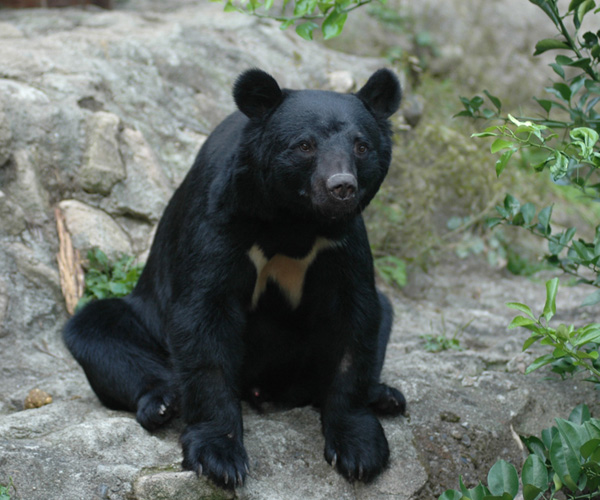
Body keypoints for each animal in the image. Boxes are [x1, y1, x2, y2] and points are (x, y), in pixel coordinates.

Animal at [63, 66, 406, 488]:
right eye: (304, 146)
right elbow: (204, 318)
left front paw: (360, 451)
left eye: (361, 146)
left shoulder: (341, 240)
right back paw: (162, 404)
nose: (341, 186)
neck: (295, 221)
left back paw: (385, 395)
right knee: (98, 329)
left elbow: (354, 318)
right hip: (144, 322)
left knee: (382, 312)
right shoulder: (221, 221)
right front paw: (220, 458)